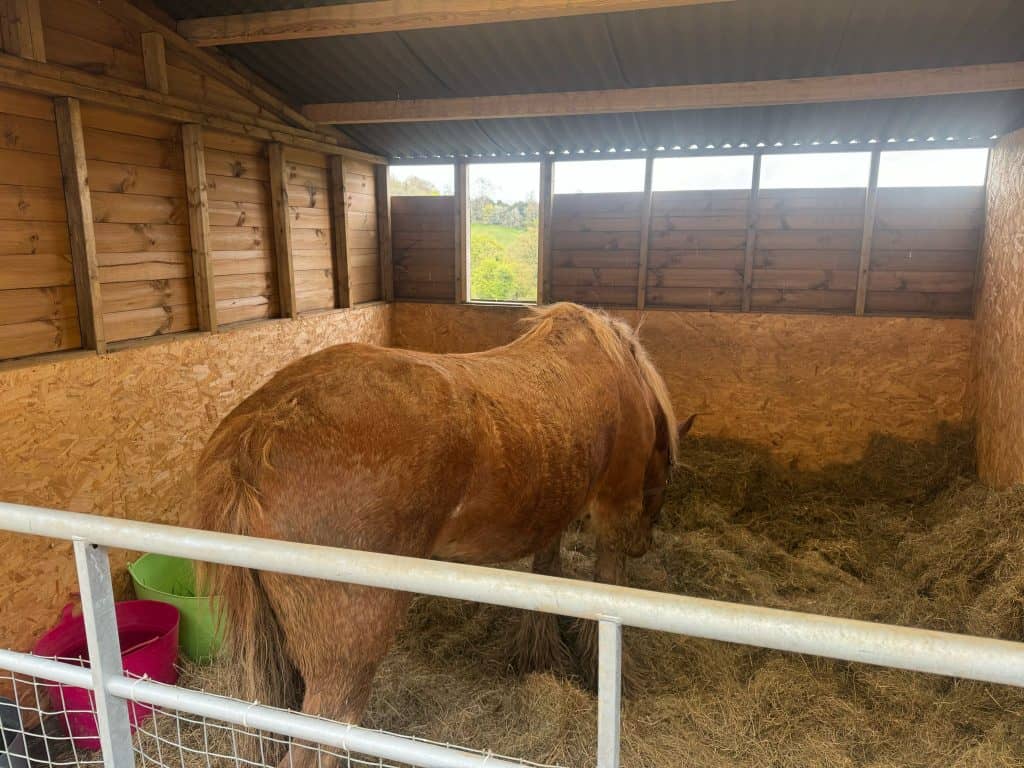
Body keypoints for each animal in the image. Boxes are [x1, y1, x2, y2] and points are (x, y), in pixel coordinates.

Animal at [196, 302, 692, 765]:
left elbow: (547, 571)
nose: (644, 545)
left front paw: (541, 656)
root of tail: (256, 433)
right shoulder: (613, 512)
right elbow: (607, 584)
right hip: (343, 669)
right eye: (668, 476)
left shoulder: (555, 508)